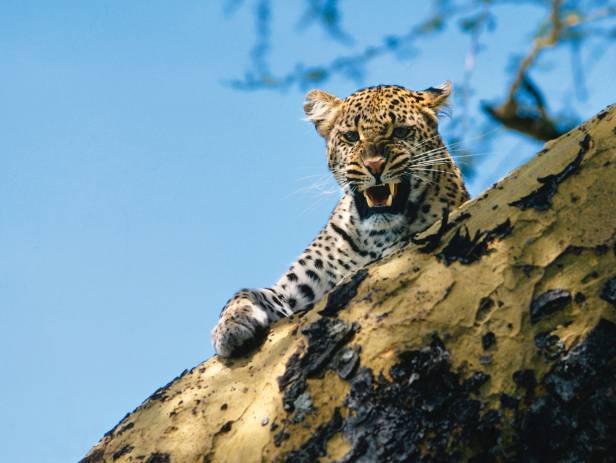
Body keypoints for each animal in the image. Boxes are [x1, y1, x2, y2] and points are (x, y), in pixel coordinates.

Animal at [211, 82, 466, 358]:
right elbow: (245, 293)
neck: (376, 235)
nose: (374, 165)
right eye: (352, 137)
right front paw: (231, 324)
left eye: (400, 132)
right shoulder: (297, 287)